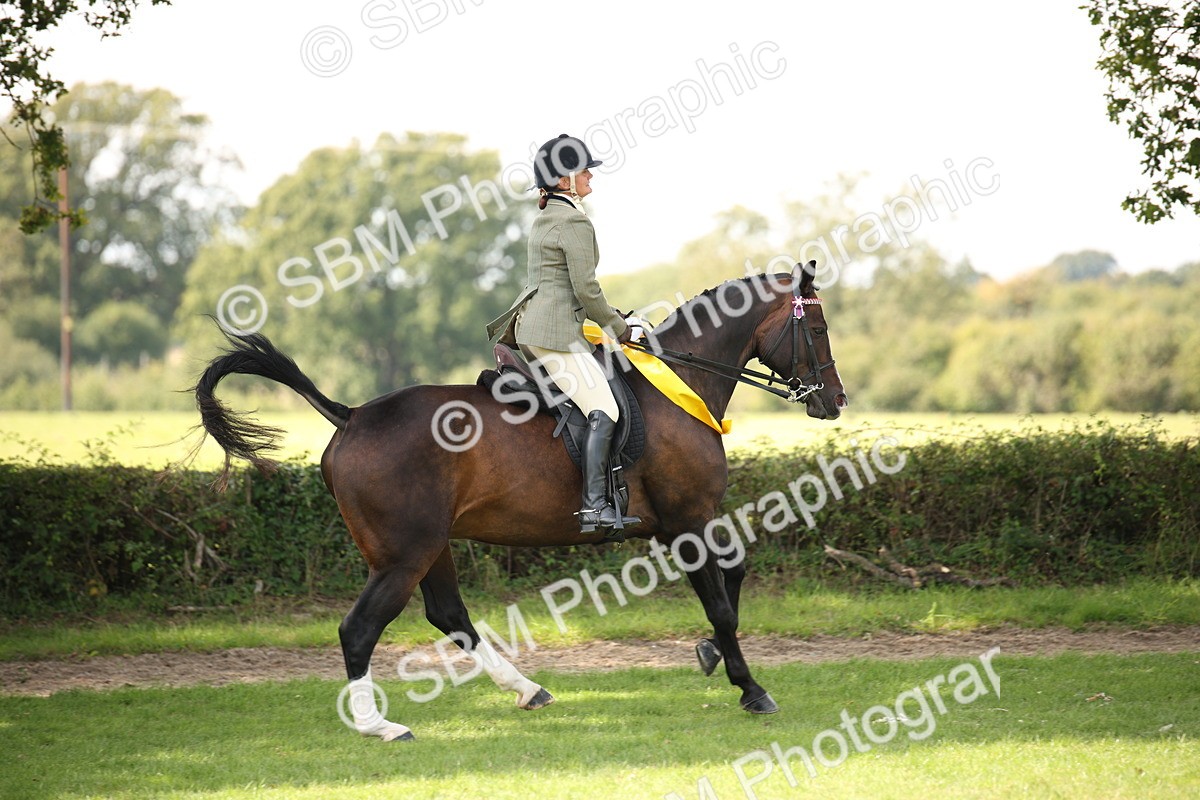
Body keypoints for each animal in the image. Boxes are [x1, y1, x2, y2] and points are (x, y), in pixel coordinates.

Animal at [192, 265, 847, 741]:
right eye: (817, 330)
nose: (835, 400)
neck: (678, 387)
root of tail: (351, 416)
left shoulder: (683, 525)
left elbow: (733, 577)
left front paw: (710, 653)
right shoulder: (688, 521)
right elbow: (723, 605)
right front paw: (750, 687)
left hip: (430, 548)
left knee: (449, 616)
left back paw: (527, 690)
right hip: (403, 556)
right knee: (359, 630)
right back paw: (380, 726)